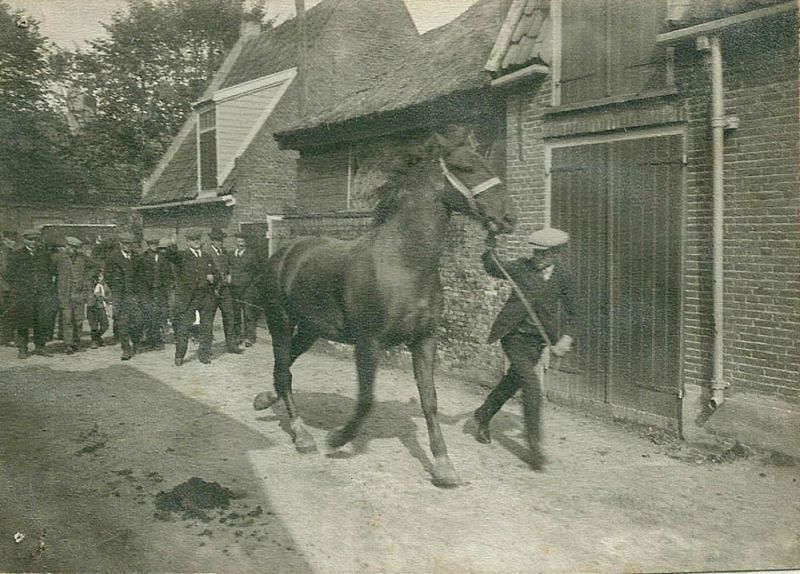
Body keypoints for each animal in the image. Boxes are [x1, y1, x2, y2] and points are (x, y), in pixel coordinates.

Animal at [256, 132, 520, 490]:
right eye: (465, 167)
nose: (508, 218)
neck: (403, 263)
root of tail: (284, 253)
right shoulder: (369, 343)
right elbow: (366, 400)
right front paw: (336, 440)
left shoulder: (424, 340)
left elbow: (430, 400)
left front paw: (444, 466)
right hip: (280, 322)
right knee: (284, 371)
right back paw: (302, 435)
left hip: (310, 329)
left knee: (284, 368)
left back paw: (266, 399)